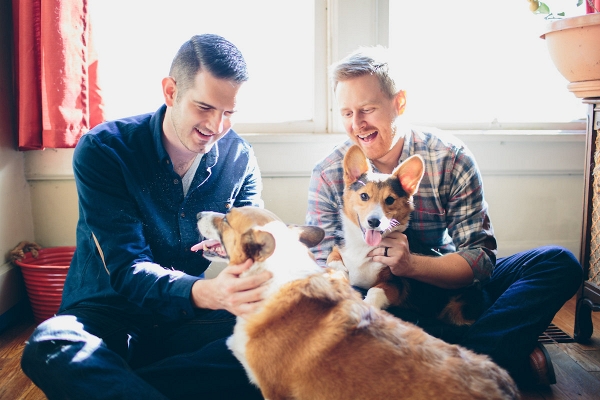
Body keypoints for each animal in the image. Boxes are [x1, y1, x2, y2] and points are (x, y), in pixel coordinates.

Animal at [326, 145, 486, 326]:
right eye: (364, 196)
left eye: (389, 200)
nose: (374, 222)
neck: (364, 245)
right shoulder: (339, 249)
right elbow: (333, 258)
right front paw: (339, 274)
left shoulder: (394, 284)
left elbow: (375, 290)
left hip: (462, 310)